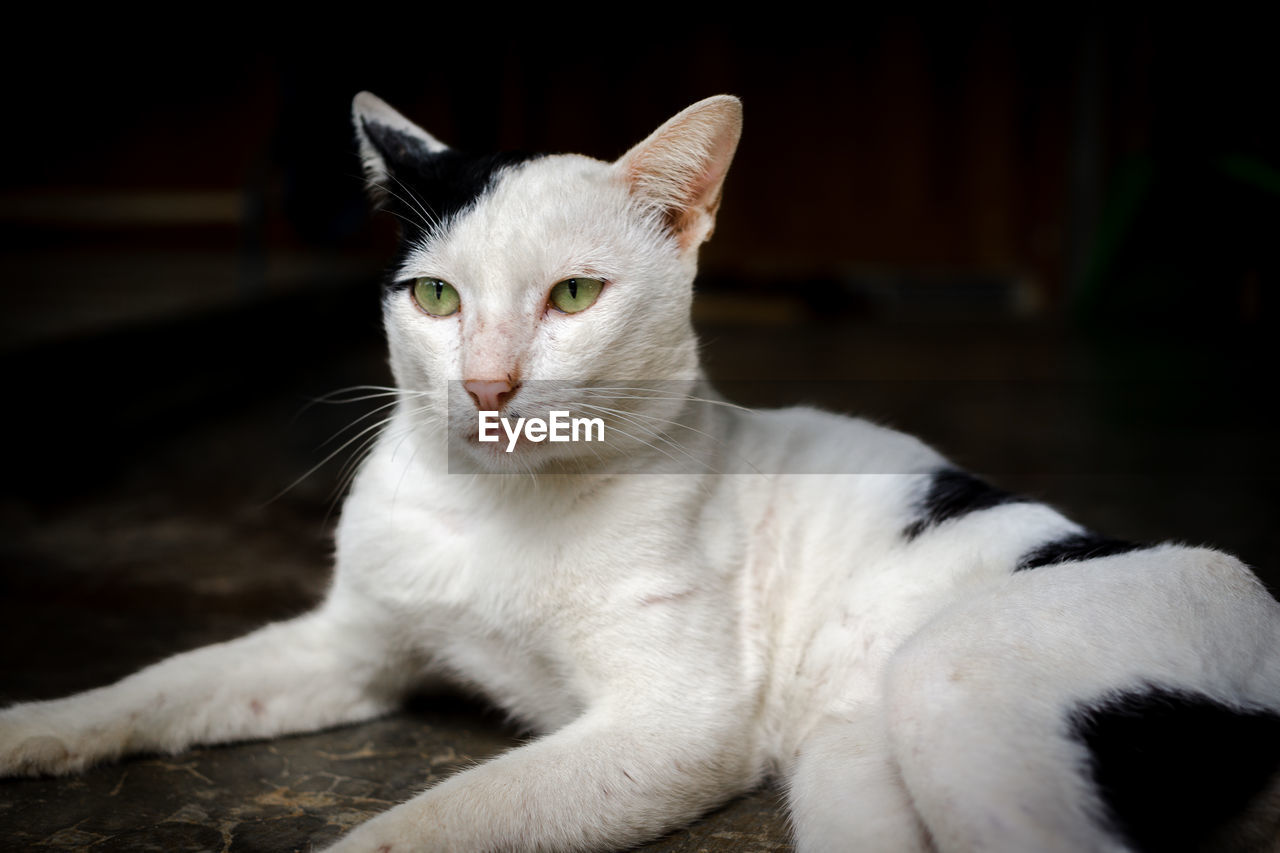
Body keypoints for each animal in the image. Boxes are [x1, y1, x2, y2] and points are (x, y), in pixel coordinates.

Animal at [2, 92, 1280, 850]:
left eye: (572, 295)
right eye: (434, 296)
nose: (487, 385)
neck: (494, 507)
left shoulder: (674, 724)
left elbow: (449, 814)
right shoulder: (348, 648)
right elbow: (165, 682)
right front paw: (39, 725)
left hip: (953, 696)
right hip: (851, 777)